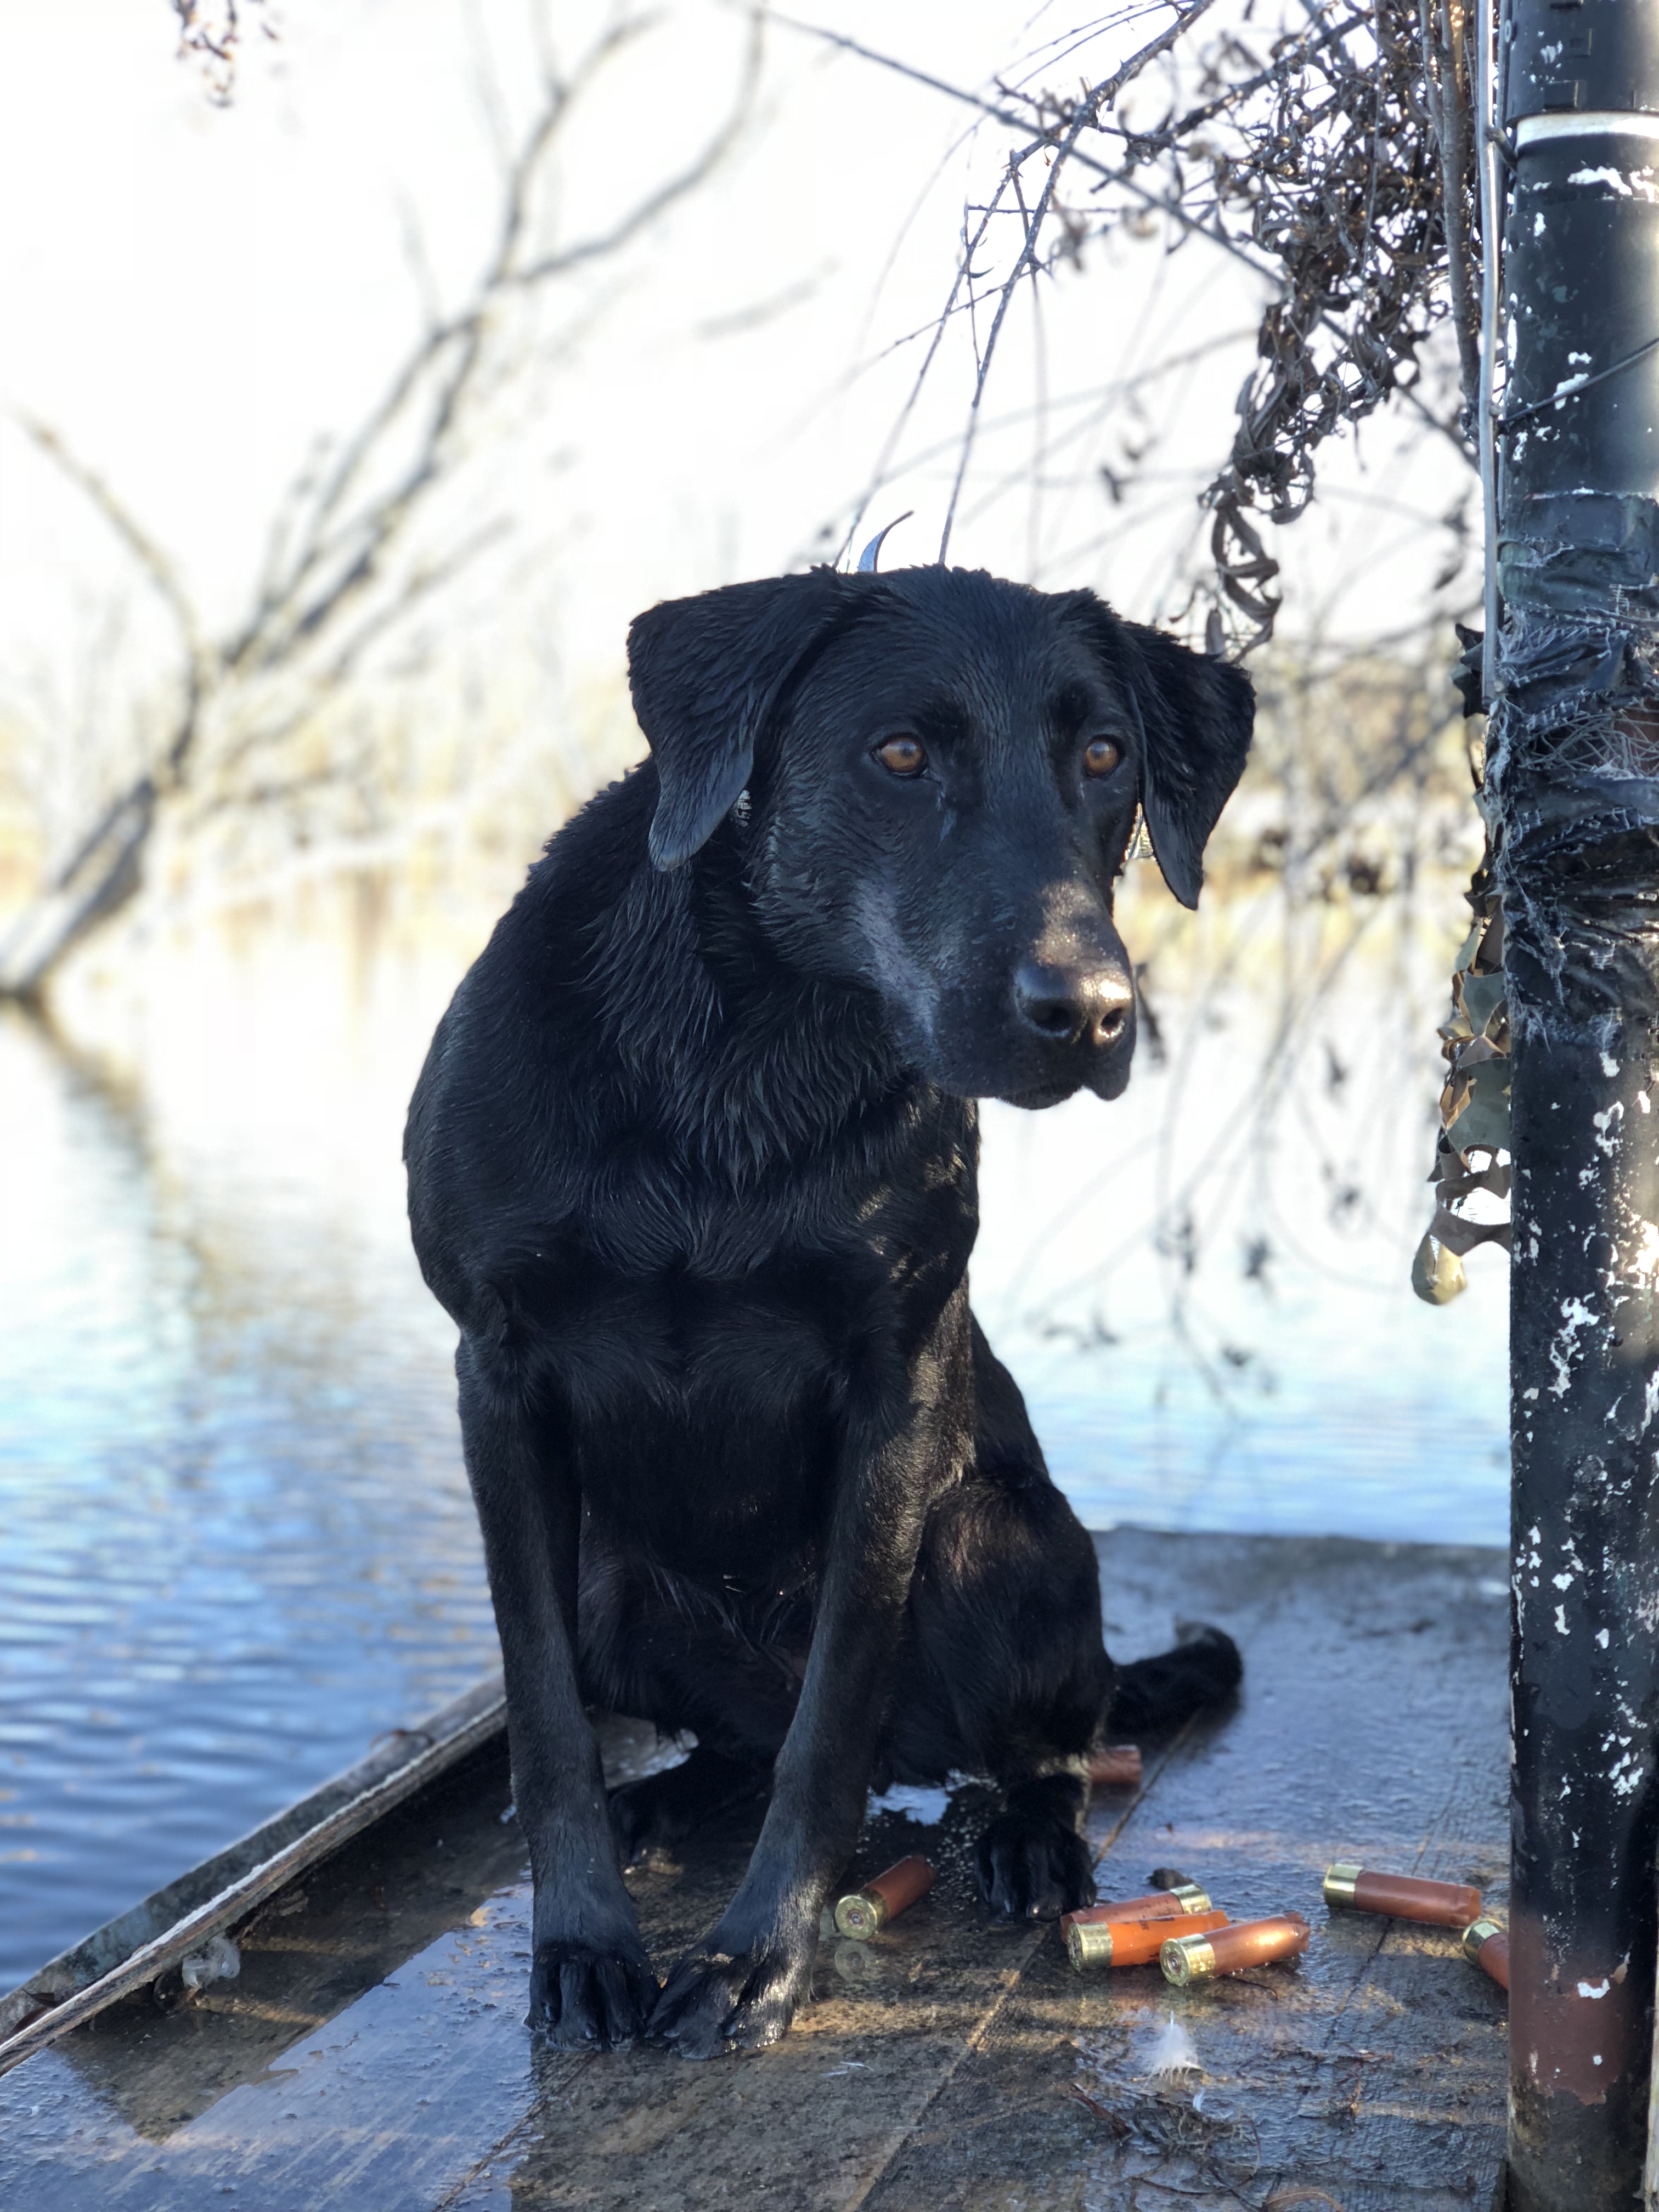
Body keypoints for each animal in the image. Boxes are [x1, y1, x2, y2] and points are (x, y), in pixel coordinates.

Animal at [409, 566, 1256, 2052]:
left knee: (1041, 1741)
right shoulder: (496, 1377)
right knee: (730, 1744)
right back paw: (661, 1800)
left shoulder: (894, 1388)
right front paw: (581, 1941)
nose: (1090, 1012)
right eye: (902, 754)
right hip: (611, 1576)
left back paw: (1028, 1840)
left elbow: (830, 1726)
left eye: (1106, 756)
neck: (746, 1045)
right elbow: (546, 1717)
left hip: (998, 1543)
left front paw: (761, 1959)